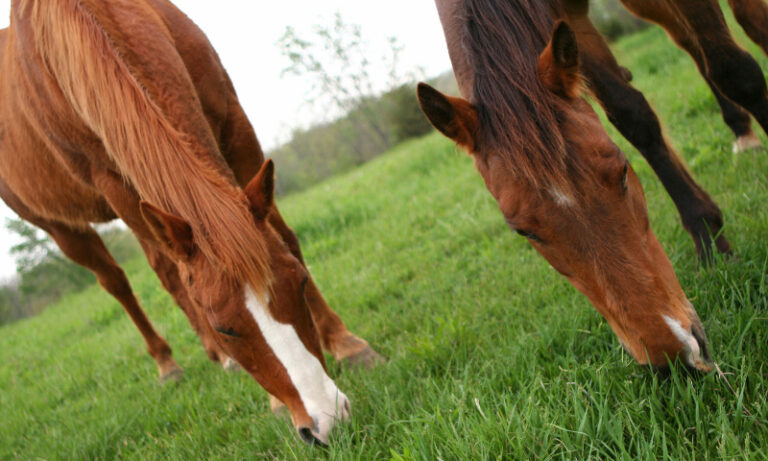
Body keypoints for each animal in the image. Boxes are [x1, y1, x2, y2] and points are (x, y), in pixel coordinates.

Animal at [0, 0, 380, 446]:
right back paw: (169, 363)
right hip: (60, 227)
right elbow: (175, 277)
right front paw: (268, 394)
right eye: (225, 329)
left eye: (301, 283)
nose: (325, 422)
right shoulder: (114, 183)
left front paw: (347, 344)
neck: (92, 23)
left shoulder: (234, 123)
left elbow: (284, 236)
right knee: (124, 281)